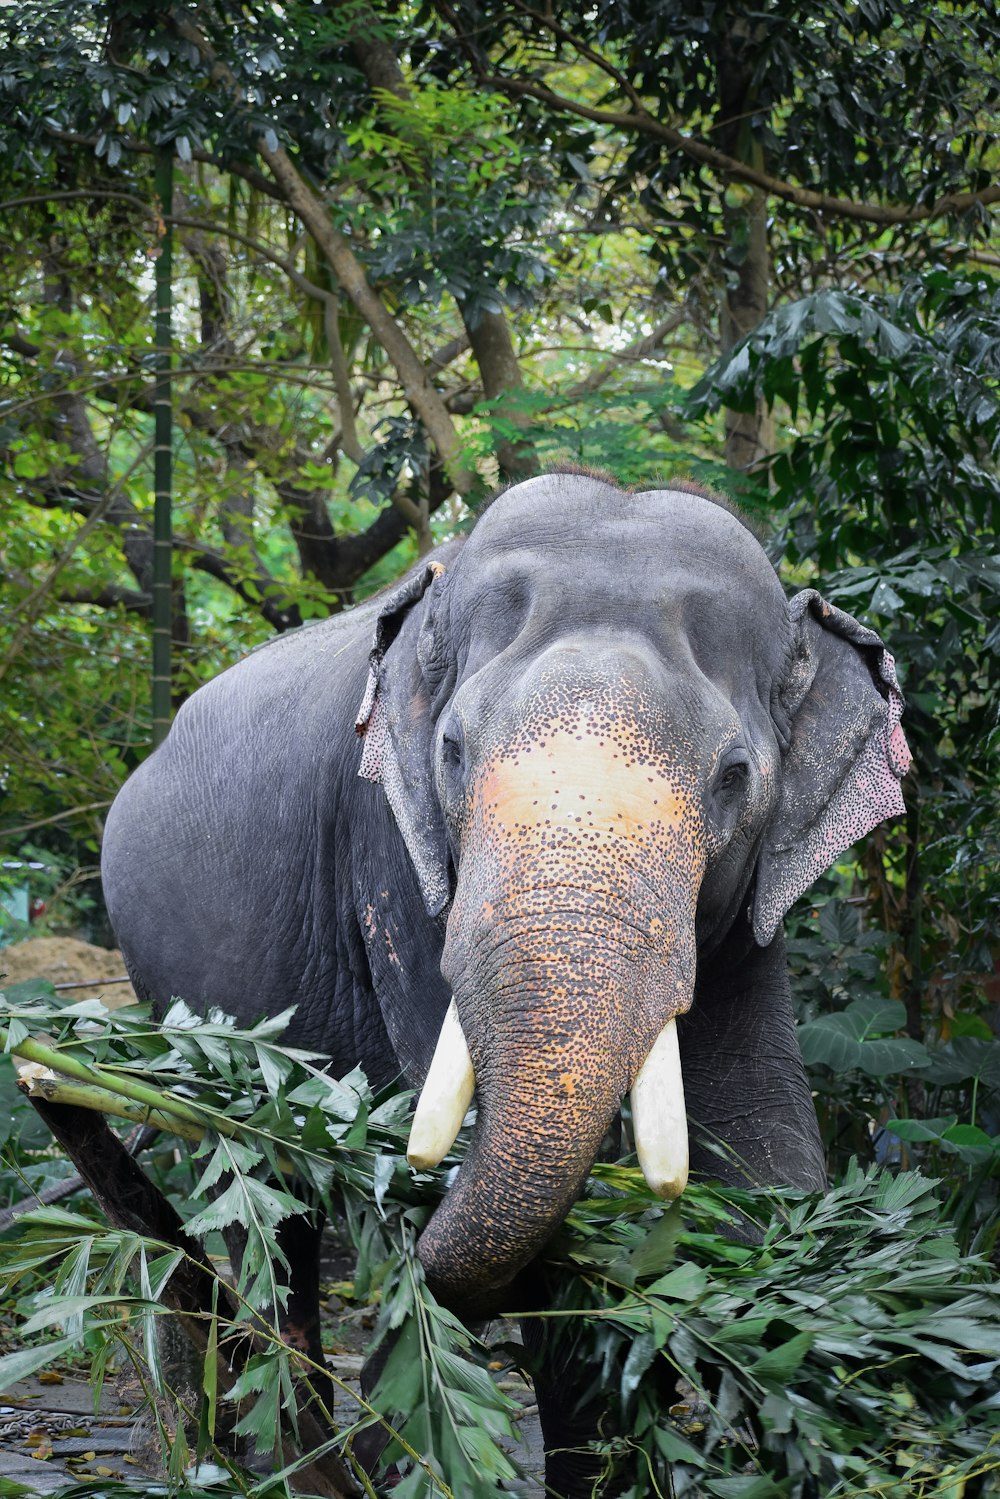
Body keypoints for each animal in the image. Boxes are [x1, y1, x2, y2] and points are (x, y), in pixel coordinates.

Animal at [101, 470, 917, 1499]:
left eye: (735, 776)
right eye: (452, 749)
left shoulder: (749, 915)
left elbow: (767, 1152)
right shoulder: (390, 849)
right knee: (261, 1197)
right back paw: (291, 1461)